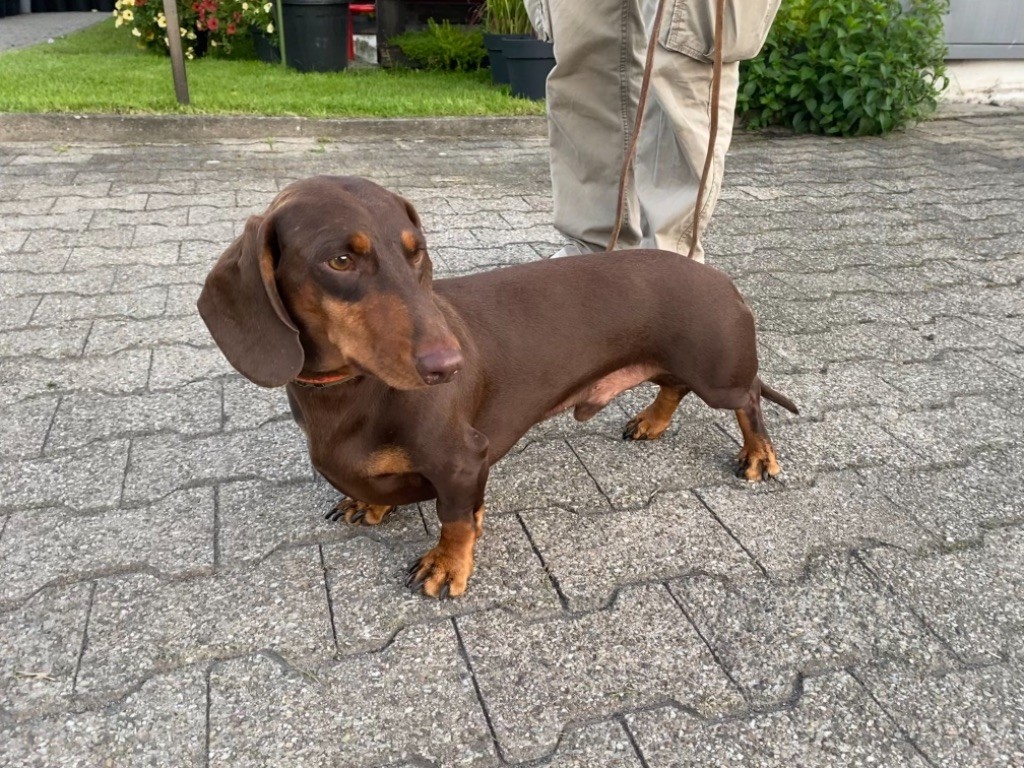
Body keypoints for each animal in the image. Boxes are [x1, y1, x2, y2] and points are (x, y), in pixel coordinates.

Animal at [198, 176, 797, 598]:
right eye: (340, 259)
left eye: (415, 250)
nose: (449, 366)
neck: (352, 391)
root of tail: (721, 279)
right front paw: (368, 504)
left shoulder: (463, 460)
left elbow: (457, 520)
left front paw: (447, 565)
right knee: (674, 387)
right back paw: (652, 421)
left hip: (719, 374)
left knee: (746, 400)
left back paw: (759, 454)